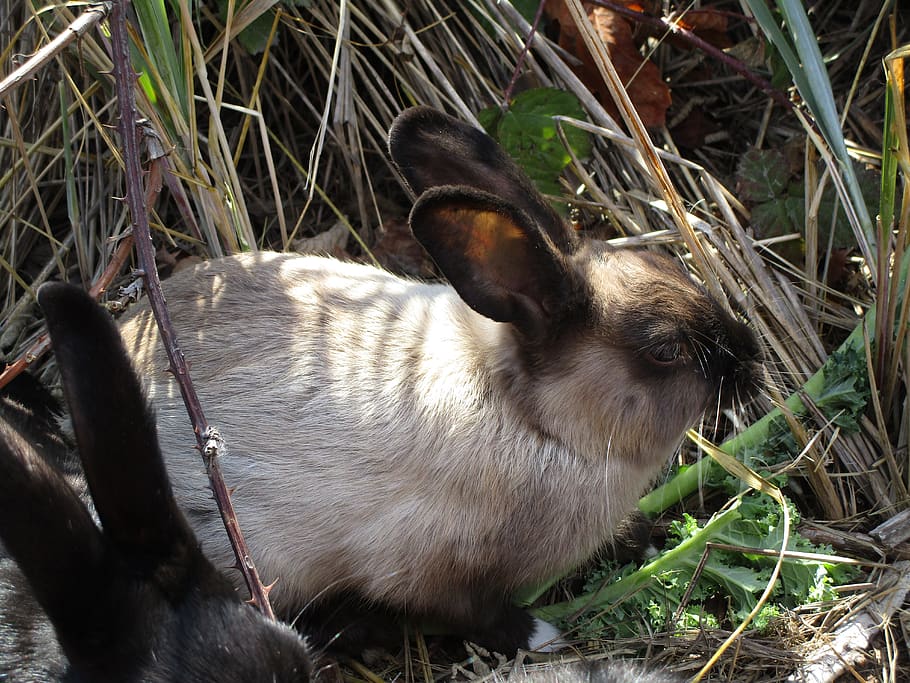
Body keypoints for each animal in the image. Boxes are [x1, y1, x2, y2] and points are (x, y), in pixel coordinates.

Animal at [117, 106, 762, 655]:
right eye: (666, 350)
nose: (752, 359)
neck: (536, 421)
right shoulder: (426, 569)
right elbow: (474, 612)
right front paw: (541, 635)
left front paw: (649, 538)